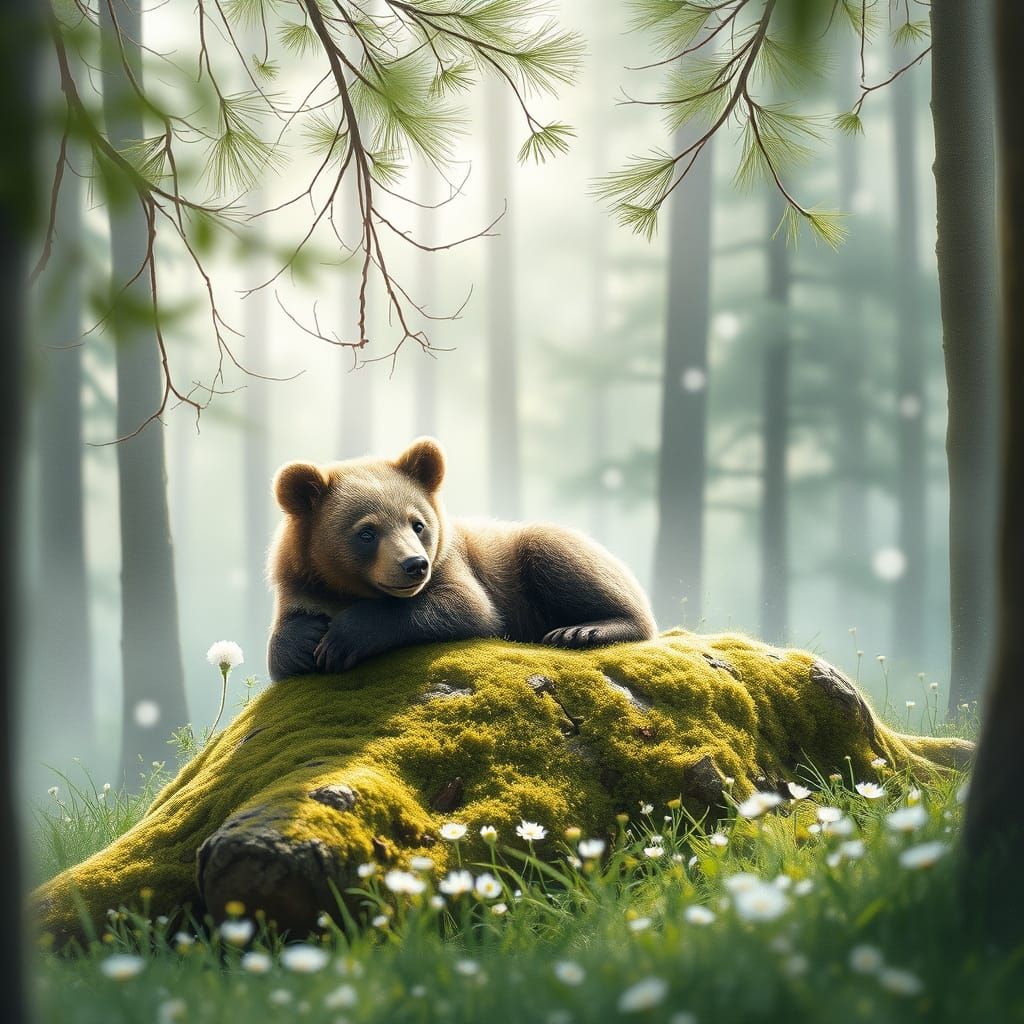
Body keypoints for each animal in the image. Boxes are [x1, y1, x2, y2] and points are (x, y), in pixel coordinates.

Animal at [266, 437, 657, 681]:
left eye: (417, 524)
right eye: (367, 532)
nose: (414, 565)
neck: (345, 589)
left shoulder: (454, 563)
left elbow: (465, 606)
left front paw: (340, 640)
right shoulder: (299, 582)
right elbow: (283, 645)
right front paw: (302, 641)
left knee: (559, 555)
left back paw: (581, 630)